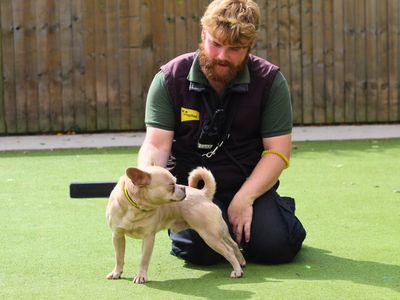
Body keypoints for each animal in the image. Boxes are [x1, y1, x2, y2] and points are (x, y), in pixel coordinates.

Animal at [104, 166, 245, 284]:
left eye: (175, 182)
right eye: (171, 185)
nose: (183, 188)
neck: (135, 207)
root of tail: (203, 194)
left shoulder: (148, 238)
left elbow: (144, 259)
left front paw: (141, 276)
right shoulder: (117, 236)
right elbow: (119, 257)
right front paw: (117, 272)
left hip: (210, 236)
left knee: (228, 250)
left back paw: (237, 271)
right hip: (221, 232)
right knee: (234, 244)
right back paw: (241, 262)